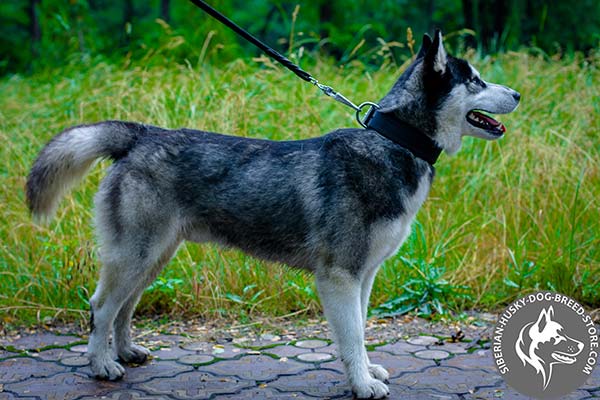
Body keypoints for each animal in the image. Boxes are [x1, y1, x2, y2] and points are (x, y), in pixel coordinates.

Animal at [25, 30, 516, 396]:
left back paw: (126, 352)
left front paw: (367, 370)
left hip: (153, 257)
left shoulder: (364, 276)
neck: (394, 141)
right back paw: (101, 365)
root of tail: (142, 135)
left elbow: (361, 330)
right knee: (100, 307)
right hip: (136, 255)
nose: (515, 92)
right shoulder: (340, 276)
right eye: (474, 80)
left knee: (124, 308)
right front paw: (361, 384)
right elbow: (353, 335)